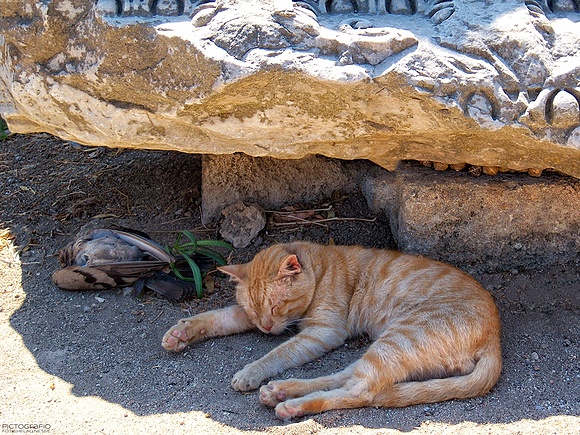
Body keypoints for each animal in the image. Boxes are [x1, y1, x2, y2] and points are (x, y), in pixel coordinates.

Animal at [161, 242, 500, 422]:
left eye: (276, 306)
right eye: (256, 311)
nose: (266, 328)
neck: (321, 268)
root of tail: (495, 338)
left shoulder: (323, 332)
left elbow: (278, 352)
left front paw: (251, 371)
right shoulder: (246, 317)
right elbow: (216, 317)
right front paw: (181, 332)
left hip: (398, 339)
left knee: (361, 391)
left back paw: (291, 403)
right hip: (388, 347)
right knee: (346, 377)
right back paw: (282, 389)